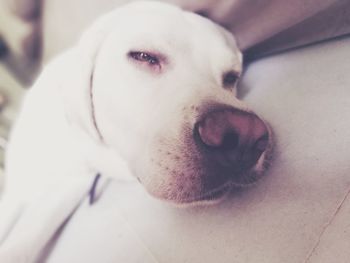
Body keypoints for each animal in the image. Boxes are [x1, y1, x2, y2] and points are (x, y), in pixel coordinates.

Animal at [0, 1, 274, 262]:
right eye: (143, 56)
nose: (244, 138)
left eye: (231, 77)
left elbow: (20, 244)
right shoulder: (18, 189)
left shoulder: (67, 189)